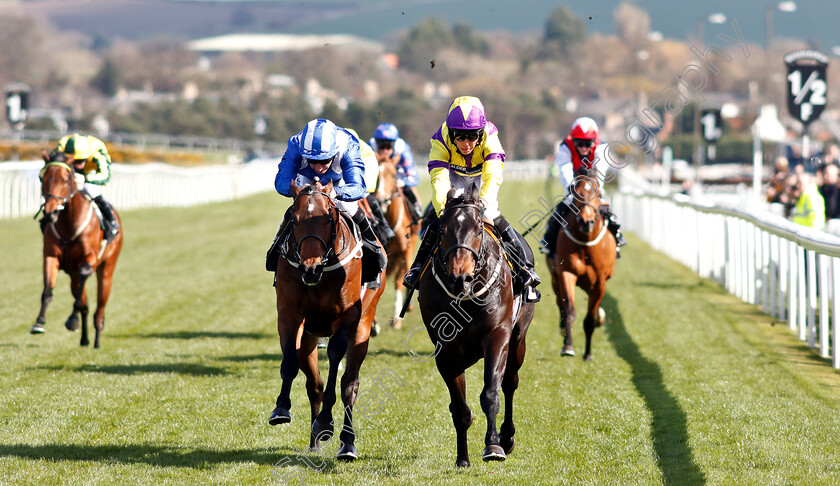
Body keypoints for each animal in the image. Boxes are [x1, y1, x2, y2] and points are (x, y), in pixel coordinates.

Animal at [31, 150, 124, 348]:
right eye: (43, 178)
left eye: (66, 179)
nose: (50, 212)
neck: (68, 223)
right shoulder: (51, 256)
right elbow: (48, 291)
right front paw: (39, 322)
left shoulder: (88, 260)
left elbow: (84, 277)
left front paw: (72, 320)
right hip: (72, 275)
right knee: (85, 305)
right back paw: (84, 339)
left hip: (107, 268)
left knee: (100, 307)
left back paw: (96, 340)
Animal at [270, 180, 386, 462]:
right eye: (294, 219)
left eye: (328, 219)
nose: (310, 269)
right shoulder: (289, 314)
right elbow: (290, 361)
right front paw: (281, 408)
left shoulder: (348, 318)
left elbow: (335, 358)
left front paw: (325, 421)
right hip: (310, 337)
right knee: (314, 384)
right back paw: (314, 442)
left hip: (363, 327)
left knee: (350, 385)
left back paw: (347, 444)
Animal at [416, 187, 536, 468]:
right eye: (442, 230)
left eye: (479, 229)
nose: (461, 278)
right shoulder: (445, 351)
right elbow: (460, 409)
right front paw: (462, 458)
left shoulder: (497, 336)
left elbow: (491, 392)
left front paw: (493, 445)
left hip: (518, 340)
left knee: (510, 383)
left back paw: (507, 437)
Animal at [544, 166, 616, 360]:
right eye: (576, 192)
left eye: (598, 194)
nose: (586, 221)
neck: (585, 244)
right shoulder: (566, 273)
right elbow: (569, 310)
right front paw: (568, 347)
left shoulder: (600, 282)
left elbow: (590, 319)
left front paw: (588, 353)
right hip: (554, 276)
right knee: (560, 303)